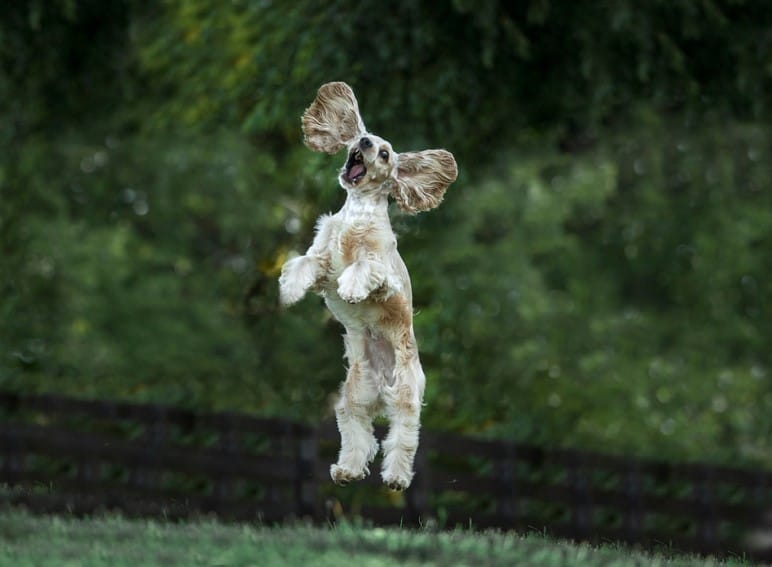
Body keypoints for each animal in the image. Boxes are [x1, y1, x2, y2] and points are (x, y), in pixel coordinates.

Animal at [278, 82, 456, 490]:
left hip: (405, 396)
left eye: (385, 152)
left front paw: (352, 290)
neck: (357, 211)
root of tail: (380, 389)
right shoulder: (323, 258)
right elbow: (305, 263)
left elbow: (363, 268)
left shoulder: (382, 272)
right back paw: (346, 471)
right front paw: (290, 290)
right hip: (353, 397)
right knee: (358, 435)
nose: (363, 141)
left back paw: (395, 478)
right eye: (366, 136)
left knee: (401, 439)